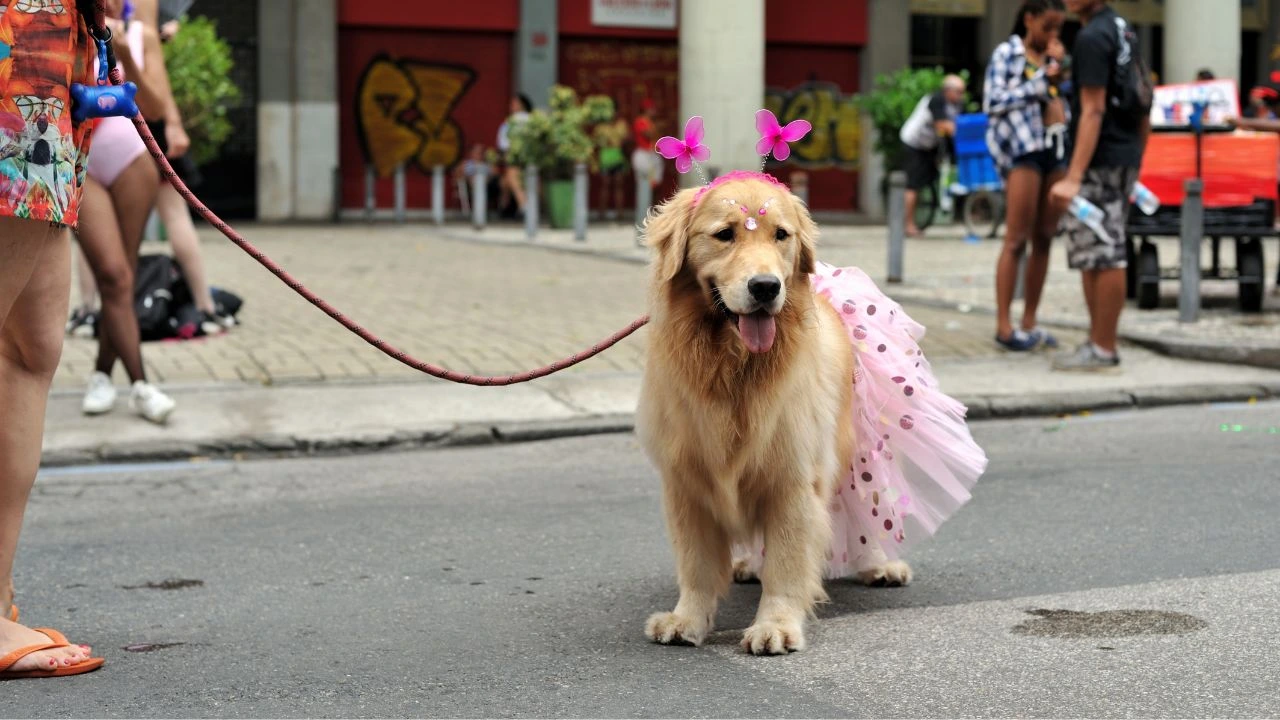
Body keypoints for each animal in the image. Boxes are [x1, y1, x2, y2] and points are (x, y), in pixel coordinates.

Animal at [632, 170, 911, 653]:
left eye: (781, 235)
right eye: (724, 234)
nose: (766, 287)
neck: (732, 365)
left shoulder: (793, 480)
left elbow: (787, 562)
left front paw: (776, 626)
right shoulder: (686, 480)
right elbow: (696, 563)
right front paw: (687, 619)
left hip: (855, 455)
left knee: (868, 511)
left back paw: (879, 563)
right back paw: (746, 563)